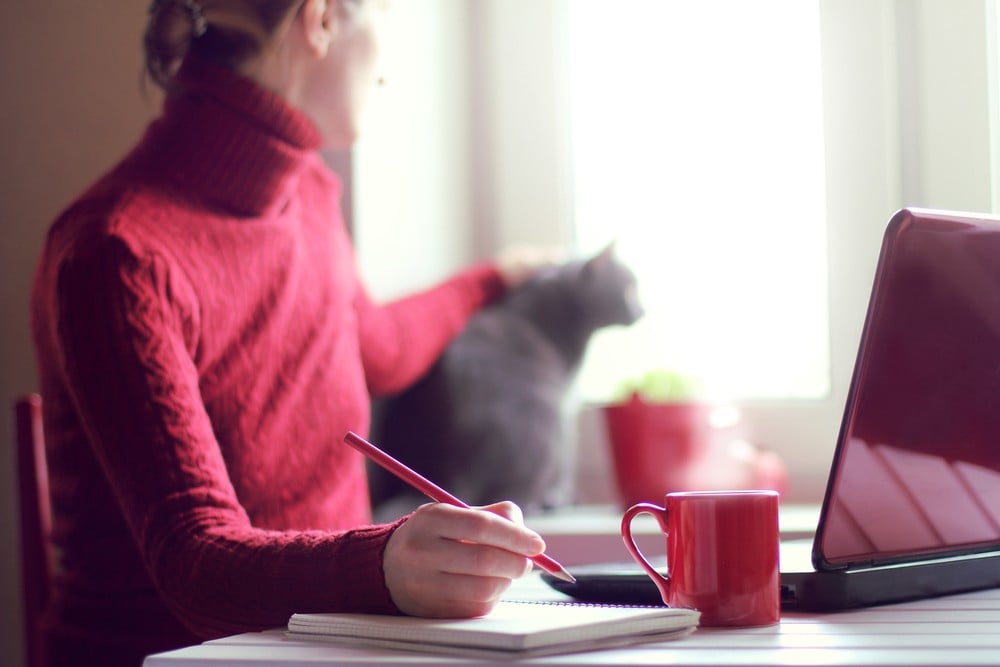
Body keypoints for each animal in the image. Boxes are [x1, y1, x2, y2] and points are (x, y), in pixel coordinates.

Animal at [368, 245, 640, 520]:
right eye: (629, 290)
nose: (642, 310)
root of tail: (453, 470)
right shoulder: (566, 401)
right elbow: (568, 455)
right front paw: (562, 495)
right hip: (544, 423)